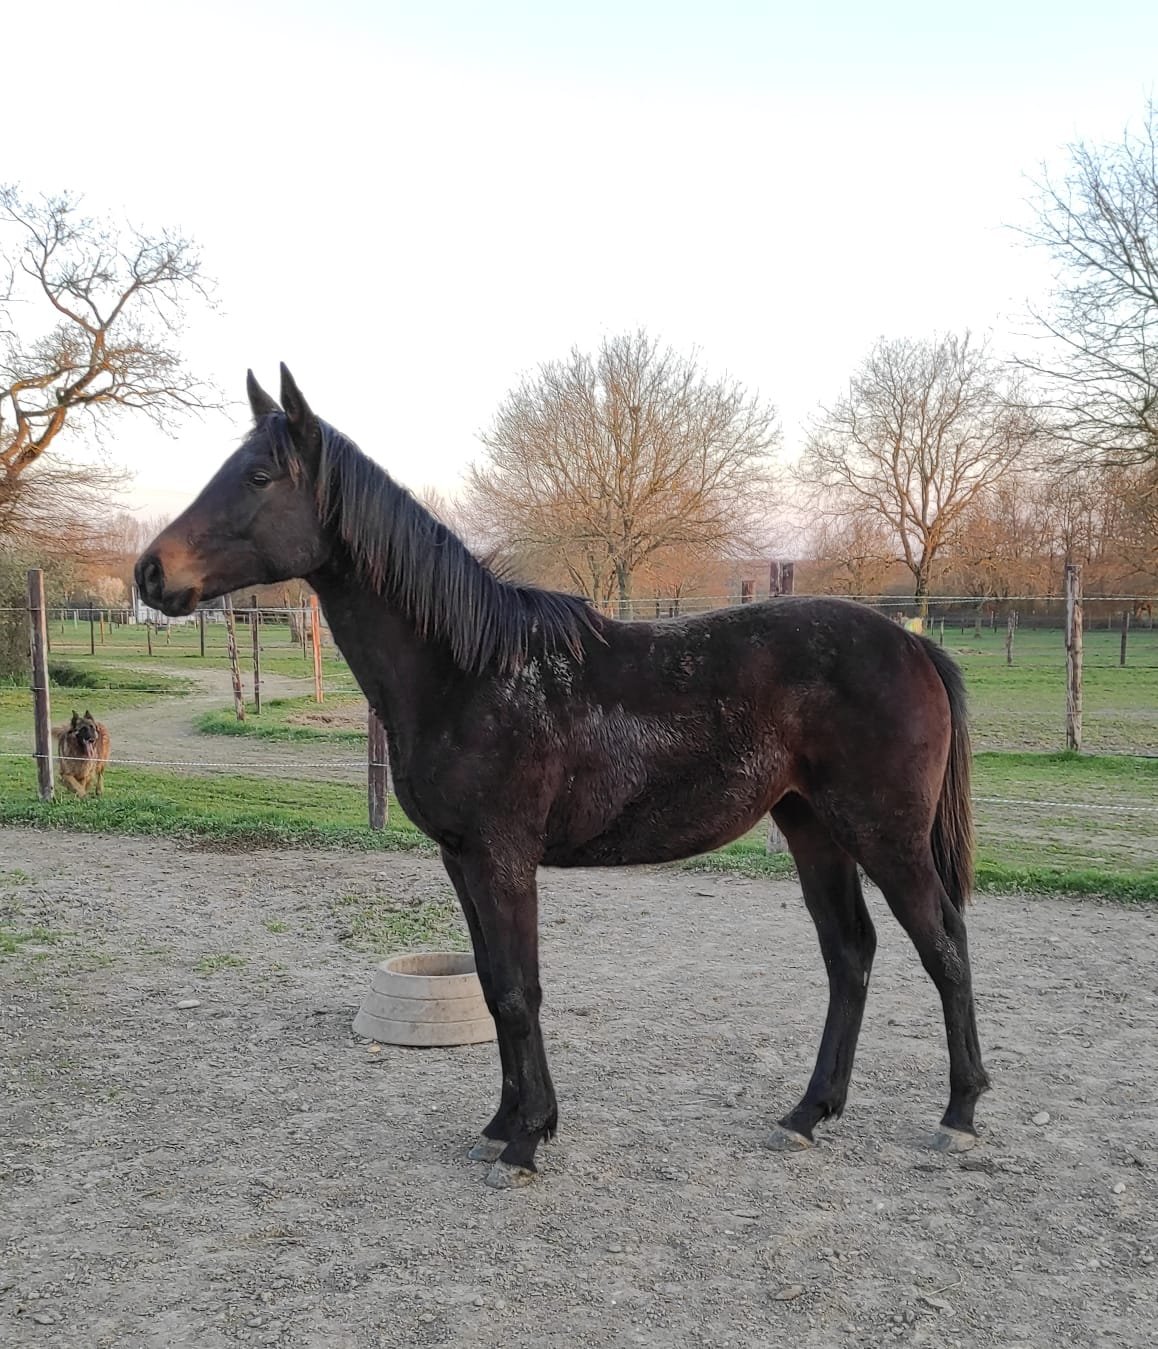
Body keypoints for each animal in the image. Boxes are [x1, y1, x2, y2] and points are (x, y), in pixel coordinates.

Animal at [135, 365, 989, 1189]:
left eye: (258, 476)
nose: (149, 572)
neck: (468, 670)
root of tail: (913, 645)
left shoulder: (504, 857)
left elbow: (521, 991)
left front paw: (527, 1141)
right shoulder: (461, 859)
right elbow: (491, 984)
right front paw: (500, 1124)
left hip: (884, 834)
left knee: (943, 943)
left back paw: (959, 1113)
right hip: (813, 825)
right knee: (850, 953)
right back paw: (808, 1112)